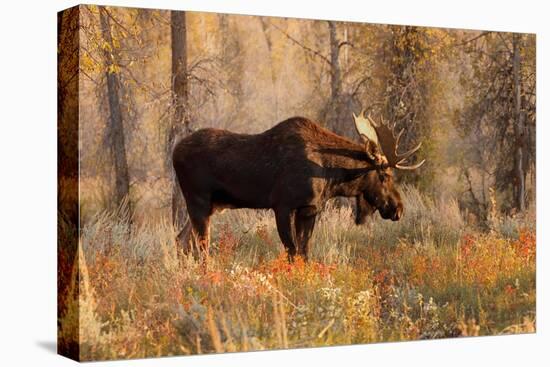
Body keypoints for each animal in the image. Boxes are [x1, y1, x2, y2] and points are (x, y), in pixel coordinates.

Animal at [174, 112, 426, 262]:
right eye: (385, 175)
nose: (398, 208)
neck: (330, 175)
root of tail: (174, 152)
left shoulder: (309, 209)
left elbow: (304, 252)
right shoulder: (283, 206)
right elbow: (292, 251)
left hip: (211, 206)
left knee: (181, 239)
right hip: (198, 201)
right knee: (201, 247)